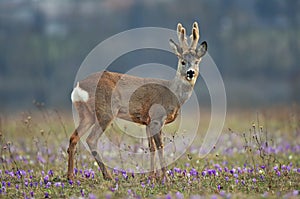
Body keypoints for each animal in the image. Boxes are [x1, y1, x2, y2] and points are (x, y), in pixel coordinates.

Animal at [67, 22, 207, 180]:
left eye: (197, 62)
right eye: (183, 61)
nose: (191, 72)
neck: (172, 92)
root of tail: (78, 87)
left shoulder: (147, 122)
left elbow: (151, 147)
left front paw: (152, 177)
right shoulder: (156, 118)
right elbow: (160, 147)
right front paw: (165, 177)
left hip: (87, 114)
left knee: (73, 137)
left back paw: (70, 176)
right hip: (106, 111)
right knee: (91, 139)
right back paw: (108, 176)